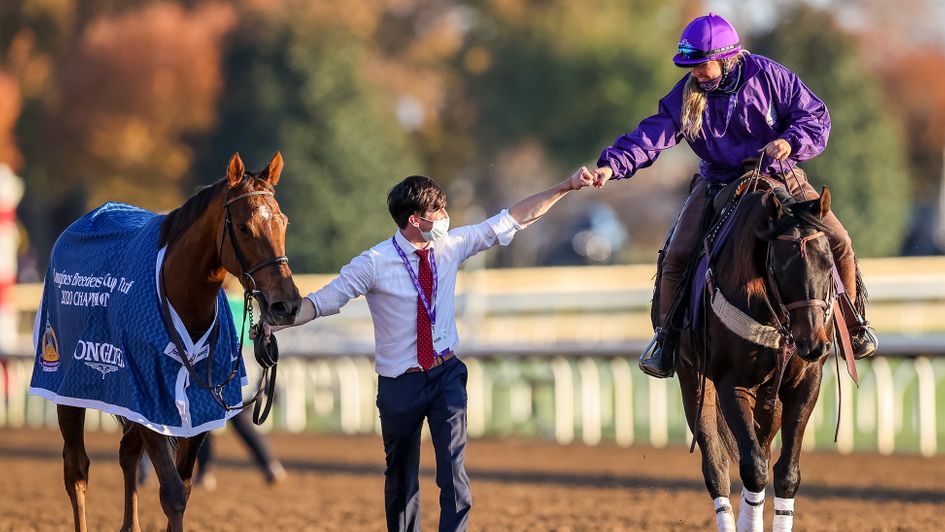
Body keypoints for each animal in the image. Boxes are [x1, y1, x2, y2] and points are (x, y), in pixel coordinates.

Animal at [29, 152, 300, 528]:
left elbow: (182, 487)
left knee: (126, 454)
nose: (286, 304)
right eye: (244, 227)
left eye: (282, 222)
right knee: (76, 470)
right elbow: (171, 492)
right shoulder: (148, 395)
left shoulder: (197, 403)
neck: (181, 297)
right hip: (64, 383)